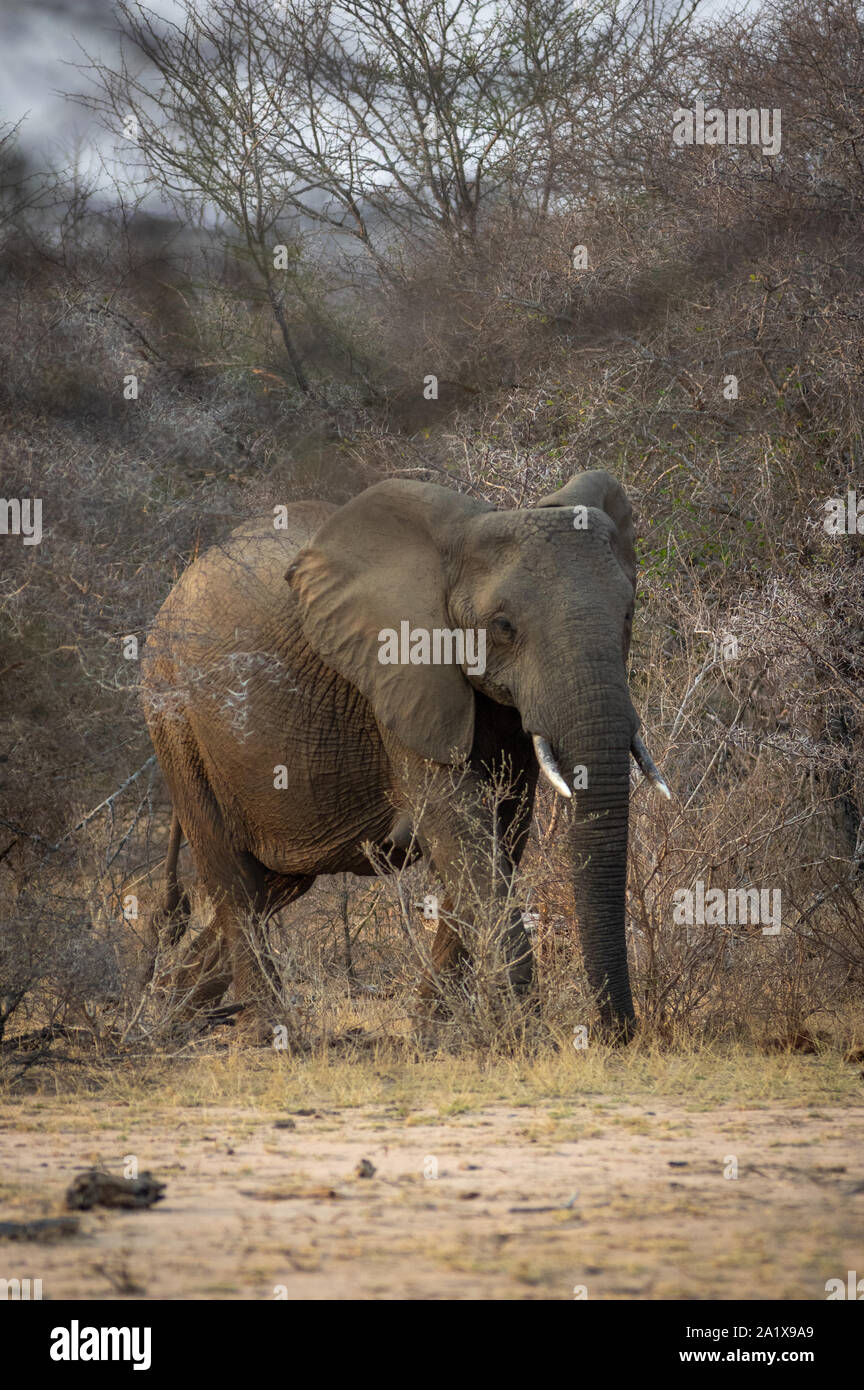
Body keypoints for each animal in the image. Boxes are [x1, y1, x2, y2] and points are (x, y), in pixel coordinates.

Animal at [140, 472, 669, 1039]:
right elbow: (458, 827)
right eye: (504, 626)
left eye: (628, 615)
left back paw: (170, 1016)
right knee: (233, 877)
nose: (619, 1035)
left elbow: (505, 829)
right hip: (174, 714)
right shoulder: (398, 677)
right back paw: (266, 1034)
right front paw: (522, 1036)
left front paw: (431, 1031)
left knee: (274, 883)